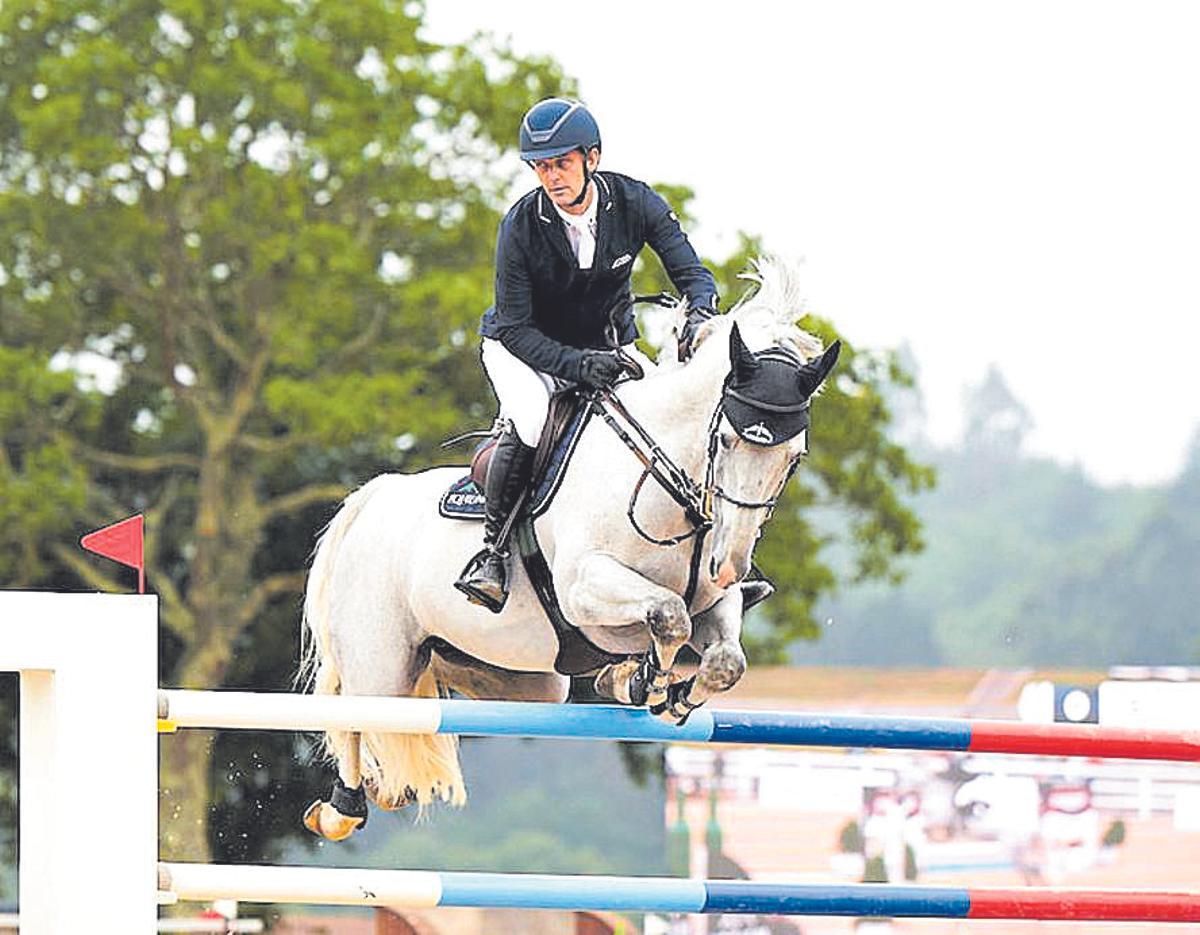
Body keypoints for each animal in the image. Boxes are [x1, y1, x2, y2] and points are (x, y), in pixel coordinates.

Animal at [304, 255, 840, 840]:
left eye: (794, 457)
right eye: (723, 440)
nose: (730, 564)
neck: (663, 476)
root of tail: (373, 497)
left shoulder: (715, 604)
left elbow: (723, 661)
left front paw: (647, 686)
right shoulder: (586, 589)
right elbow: (667, 615)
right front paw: (647, 681)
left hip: (529, 680)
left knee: (446, 681)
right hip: (380, 663)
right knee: (354, 717)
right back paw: (342, 806)